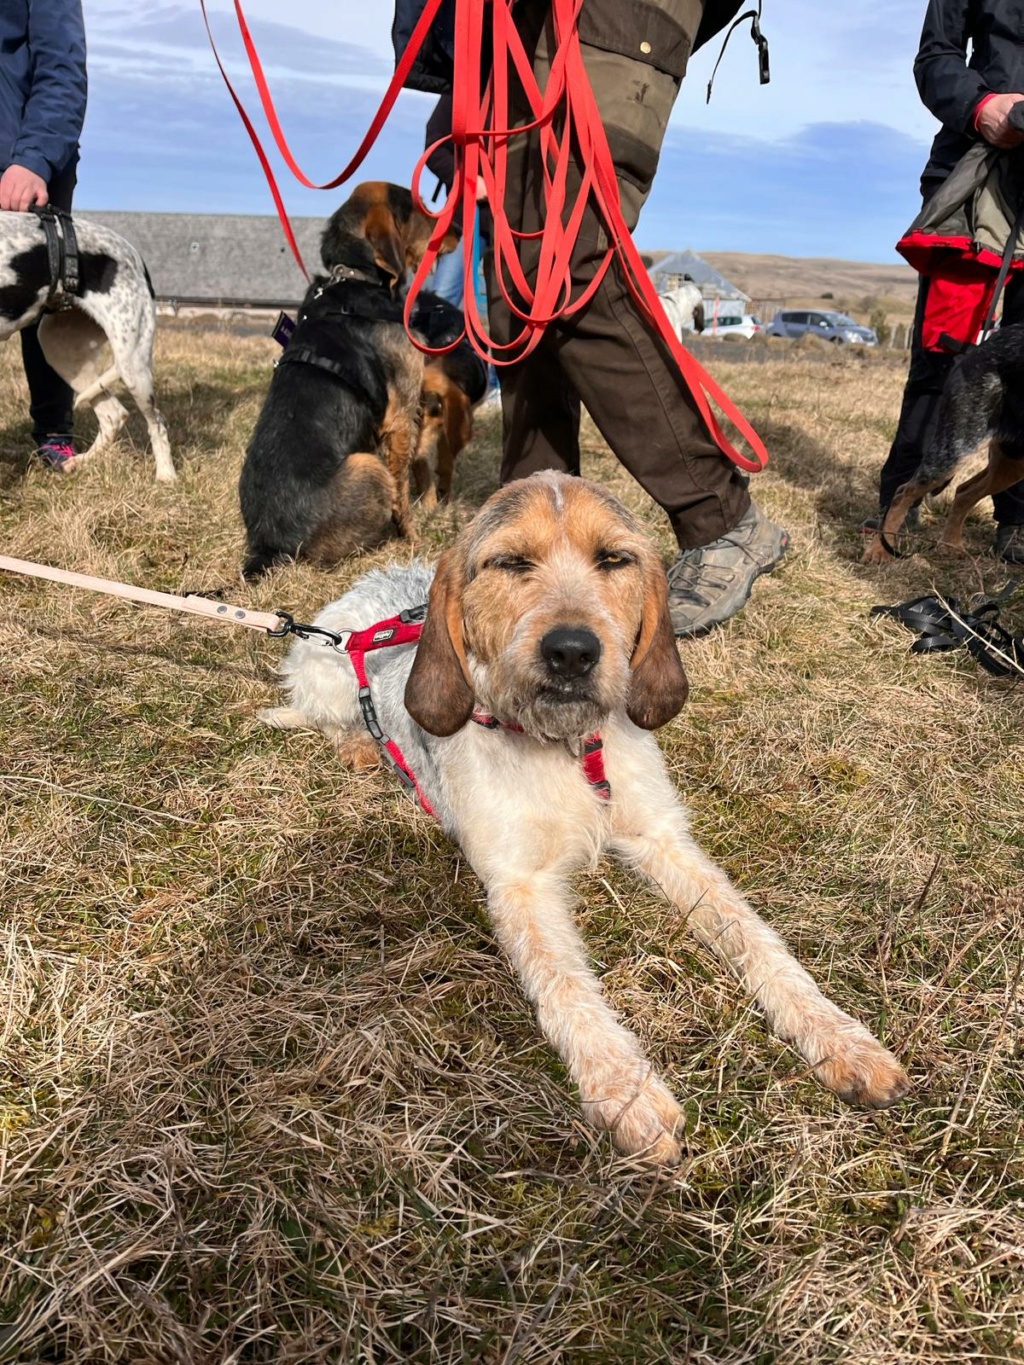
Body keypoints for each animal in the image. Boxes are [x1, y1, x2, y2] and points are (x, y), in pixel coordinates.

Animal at [0, 204, 172, 477]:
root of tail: (135, 255)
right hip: (60, 350)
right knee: (114, 415)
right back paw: (79, 462)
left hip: (133, 364)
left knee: (157, 422)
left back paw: (166, 476)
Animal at [240, 182, 456, 581]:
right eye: (413, 207)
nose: (460, 230)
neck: (356, 277)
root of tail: (268, 548)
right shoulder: (401, 414)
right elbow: (402, 489)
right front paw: (412, 538)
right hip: (367, 466)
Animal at [260, 472, 912, 1162]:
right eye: (511, 562)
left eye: (614, 559)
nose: (571, 652)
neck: (566, 745)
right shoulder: (520, 882)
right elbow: (566, 986)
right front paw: (627, 1093)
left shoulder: (662, 837)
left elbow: (755, 938)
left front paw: (841, 1039)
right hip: (326, 681)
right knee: (328, 716)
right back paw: (361, 745)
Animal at [868, 322, 1024, 562]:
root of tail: (986, 343)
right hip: (955, 449)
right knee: (903, 492)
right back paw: (879, 550)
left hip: (1011, 463)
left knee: (963, 491)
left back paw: (950, 545)